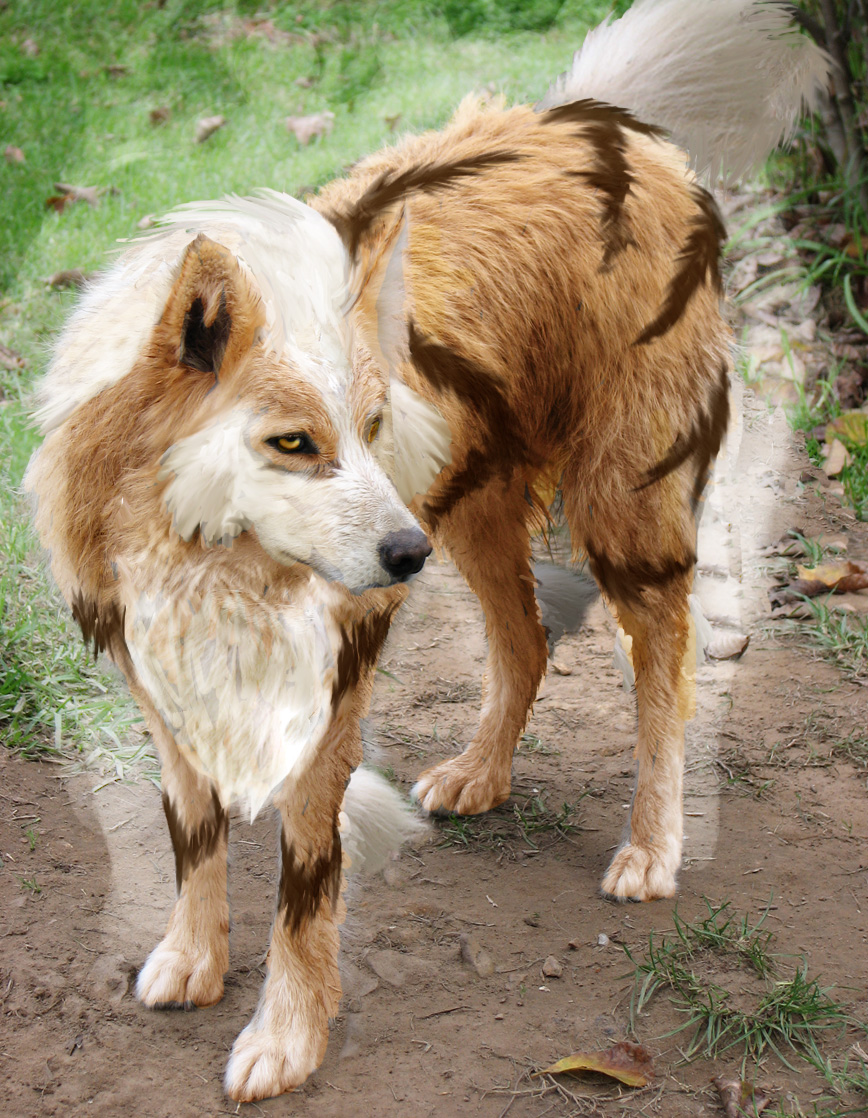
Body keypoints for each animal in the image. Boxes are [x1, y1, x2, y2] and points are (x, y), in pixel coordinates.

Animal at [25, 0, 827, 1104]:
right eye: (294, 442)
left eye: (371, 425)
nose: (400, 552)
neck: (207, 563)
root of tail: (579, 120)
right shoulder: (162, 683)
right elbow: (194, 837)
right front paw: (192, 958)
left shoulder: (327, 697)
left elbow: (304, 892)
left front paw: (285, 1039)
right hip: (471, 514)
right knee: (528, 639)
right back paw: (482, 774)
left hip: (608, 510)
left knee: (661, 660)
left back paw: (652, 845)